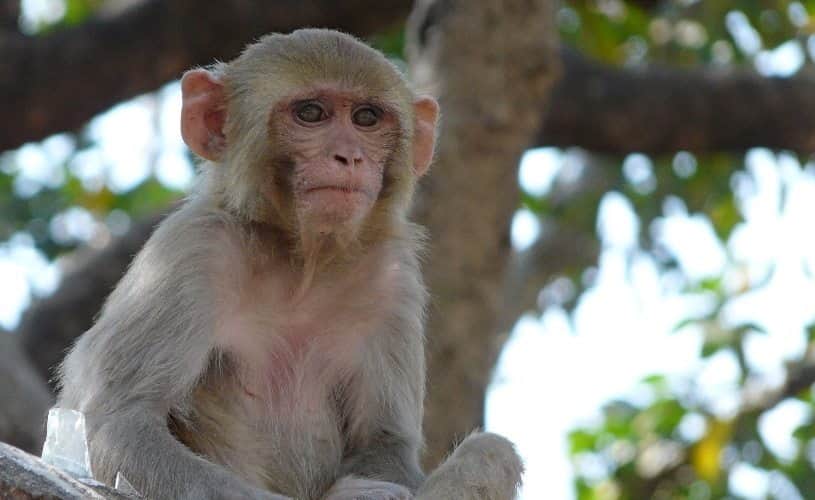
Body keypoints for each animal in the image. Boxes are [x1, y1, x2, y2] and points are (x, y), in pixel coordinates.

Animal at [57, 29, 523, 500]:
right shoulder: (191, 249)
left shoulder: (392, 280)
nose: (348, 156)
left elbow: (384, 442)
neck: (302, 263)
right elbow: (122, 421)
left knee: (492, 452)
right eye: (311, 114)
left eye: (367, 118)